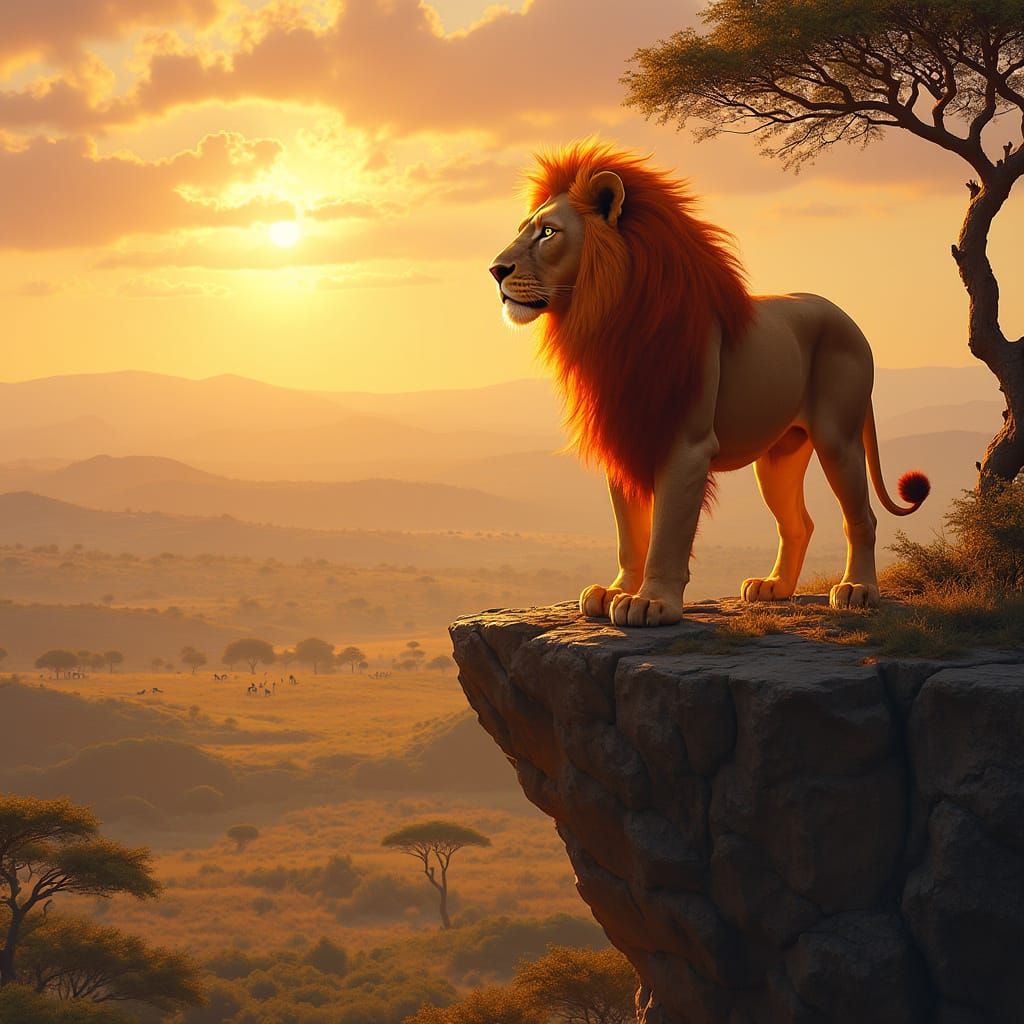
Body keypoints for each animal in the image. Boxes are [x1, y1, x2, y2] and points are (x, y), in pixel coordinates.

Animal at [488, 140, 929, 627]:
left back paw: (857, 589)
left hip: (839, 438)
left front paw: (652, 602)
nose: (495, 270)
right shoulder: (626, 435)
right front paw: (617, 590)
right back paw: (774, 588)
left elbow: (668, 531)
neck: (607, 320)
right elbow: (630, 532)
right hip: (777, 458)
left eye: (548, 232)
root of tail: (847, 317)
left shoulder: (686, 444)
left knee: (862, 517)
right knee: (799, 522)